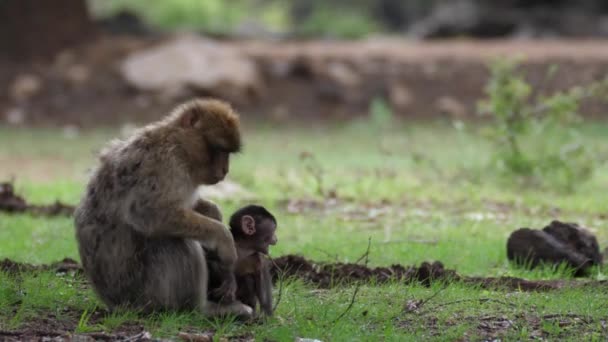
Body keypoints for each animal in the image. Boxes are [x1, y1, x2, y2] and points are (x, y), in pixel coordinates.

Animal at [75, 97, 252, 316]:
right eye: (219, 149)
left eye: (228, 153)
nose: (225, 170)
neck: (180, 147)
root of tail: (116, 304)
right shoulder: (163, 164)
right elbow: (149, 213)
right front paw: (223, 239)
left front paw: (213, 212)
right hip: (146, 293)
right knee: (174, 241)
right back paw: (200, 309)